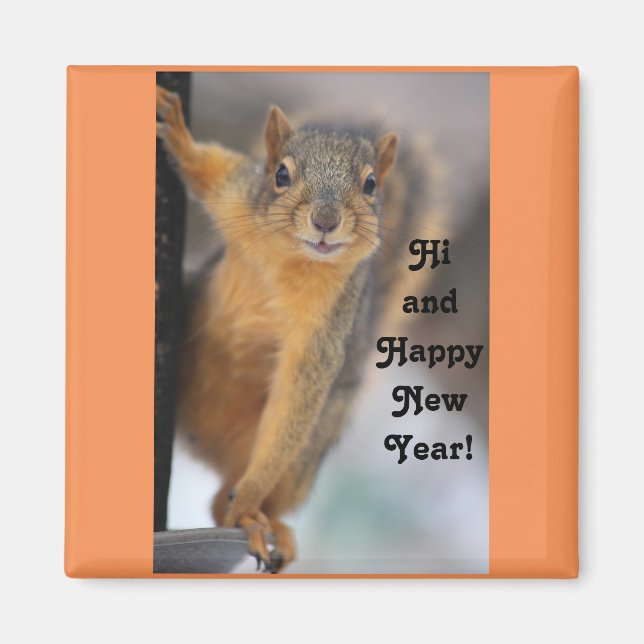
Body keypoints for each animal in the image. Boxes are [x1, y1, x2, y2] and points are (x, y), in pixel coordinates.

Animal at [156, 85, 431, 572]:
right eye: (281, 175)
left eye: (370, 185)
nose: (324, 222)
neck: (294, 260)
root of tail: (204, 447)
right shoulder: (238, 198)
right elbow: (209, 170)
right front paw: (178, 132)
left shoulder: (322, 336)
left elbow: (292, 404)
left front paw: (247, 501)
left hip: (305, 456)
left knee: (230, 500)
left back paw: (258, 522)